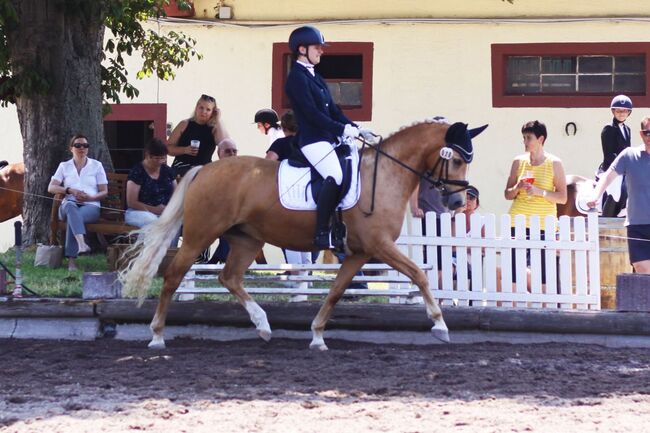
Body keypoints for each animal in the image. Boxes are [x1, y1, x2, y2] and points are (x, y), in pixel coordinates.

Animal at [120, 119, 486, 352]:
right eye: (455, 159)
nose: (457, 203)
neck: (384, 175)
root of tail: (203, 169)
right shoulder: (380, 246)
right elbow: (419, 277)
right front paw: (440, 326)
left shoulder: (359, 252)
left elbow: (336, 292)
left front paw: (317, 336)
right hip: (201, 235)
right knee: (173, 276)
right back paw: (157, 336)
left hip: (247, 239)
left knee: (229, 277)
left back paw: (263, 325)